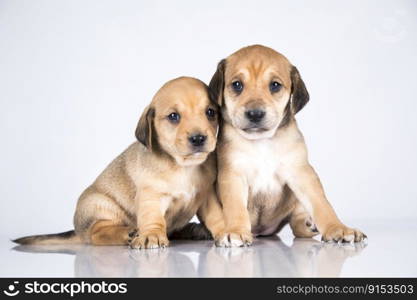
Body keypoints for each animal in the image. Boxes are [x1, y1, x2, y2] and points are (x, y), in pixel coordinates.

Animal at [13, 77, 224, 248]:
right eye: (174, 116)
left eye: (210, 112)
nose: (198, 138)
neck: (184, 167)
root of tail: (78, 232)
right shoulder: (151, 197)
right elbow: (154, 220)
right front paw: (152, 235)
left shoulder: (206, 196)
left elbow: (216, 216)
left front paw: (224, 232)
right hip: (99, 205)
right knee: (97, 233)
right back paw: (127, 232)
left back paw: (193, 230)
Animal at [208, 44, 364, 246]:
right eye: (237, 85)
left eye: (275, 85)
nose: (255, 114)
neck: (262, 141)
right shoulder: (233, 175)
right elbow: (235, 207)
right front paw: (235, 231)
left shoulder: (302, 172)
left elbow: (321, 204)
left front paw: (338, 228)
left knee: (297, 223)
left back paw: (308, 224)